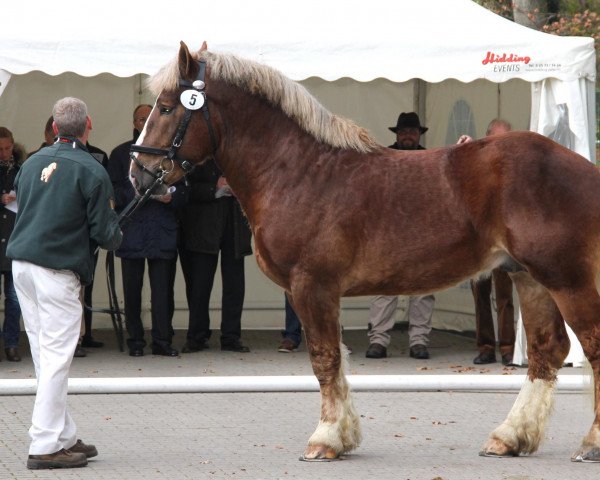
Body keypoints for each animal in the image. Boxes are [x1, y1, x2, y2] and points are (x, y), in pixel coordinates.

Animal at [130, 42, 600, 464]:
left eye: (167, 108)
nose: (139, 175)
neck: (298, 171)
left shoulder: (312, 286)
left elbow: (324, 360)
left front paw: (325, 440)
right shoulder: (315, 292)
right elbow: (336, 362)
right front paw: (343, 436)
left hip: (566, 280)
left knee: (590, 346)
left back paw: (589, 444)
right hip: (530, 277)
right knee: (547, 349)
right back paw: (509, 437)